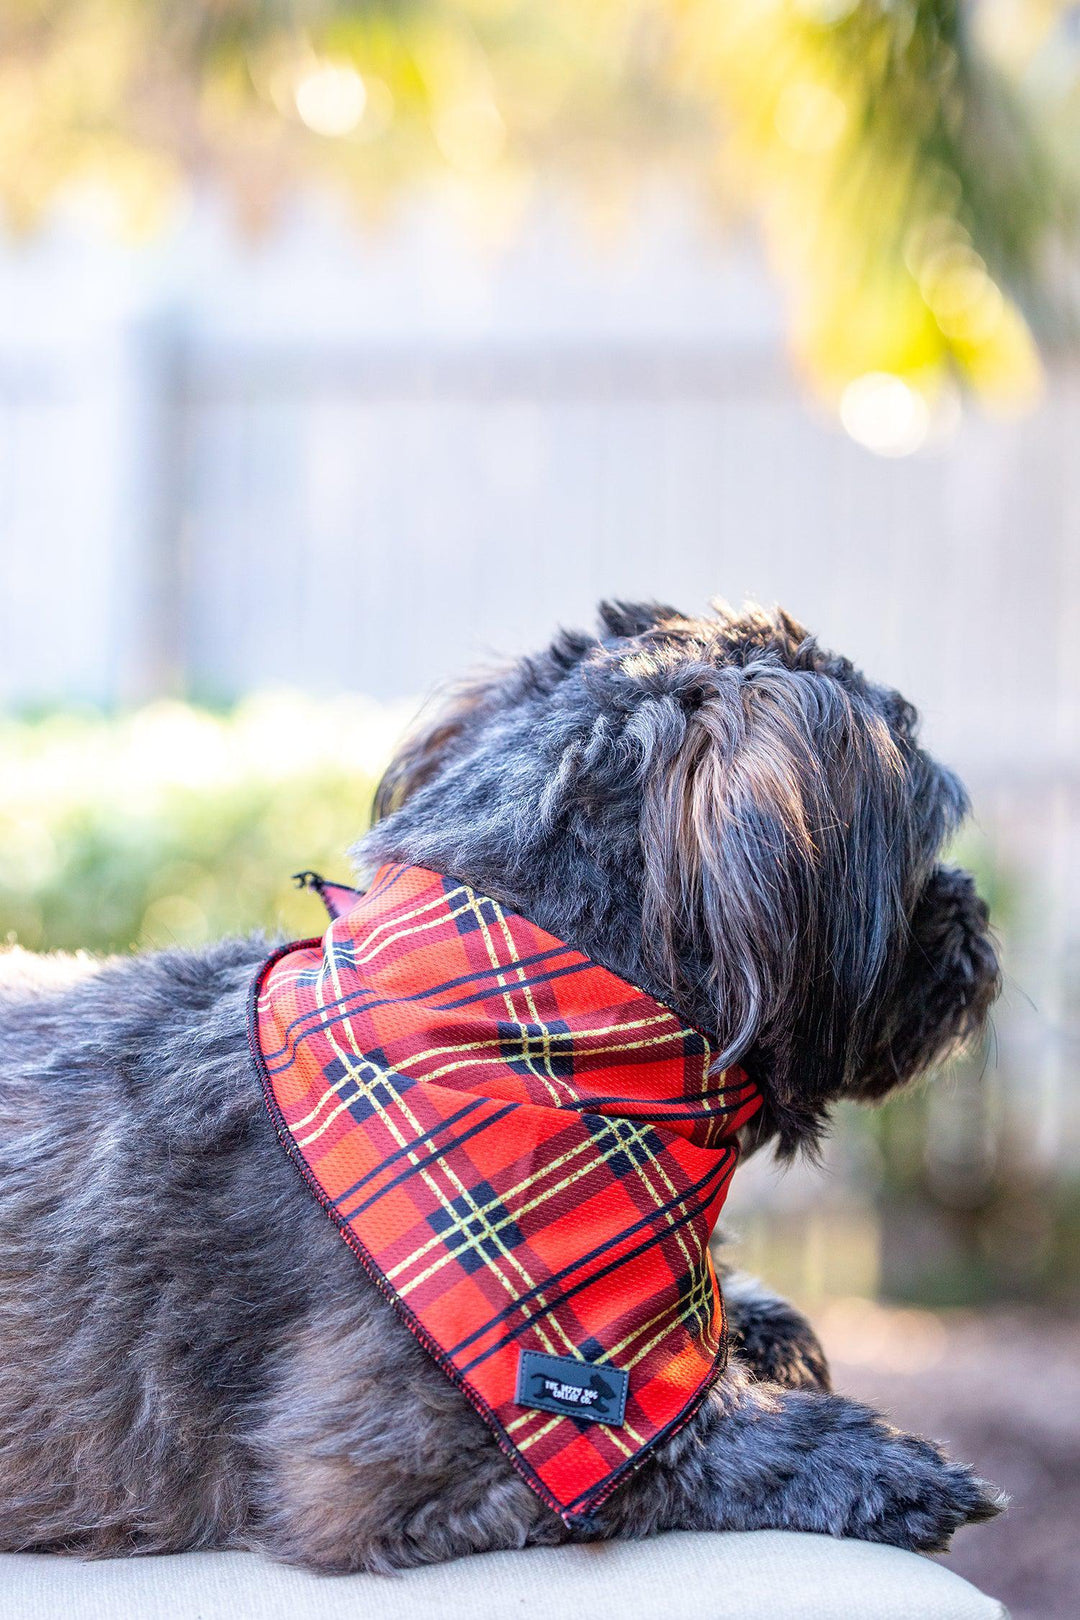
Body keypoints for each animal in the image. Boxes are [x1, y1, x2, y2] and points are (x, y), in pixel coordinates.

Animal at [0, 599, 1003, 1568]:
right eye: (922, 851)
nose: (977, 918)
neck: (529, 1035)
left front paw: (756, 1327)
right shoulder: (396, 1467)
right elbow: (672, 1449)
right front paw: (872, 1462)